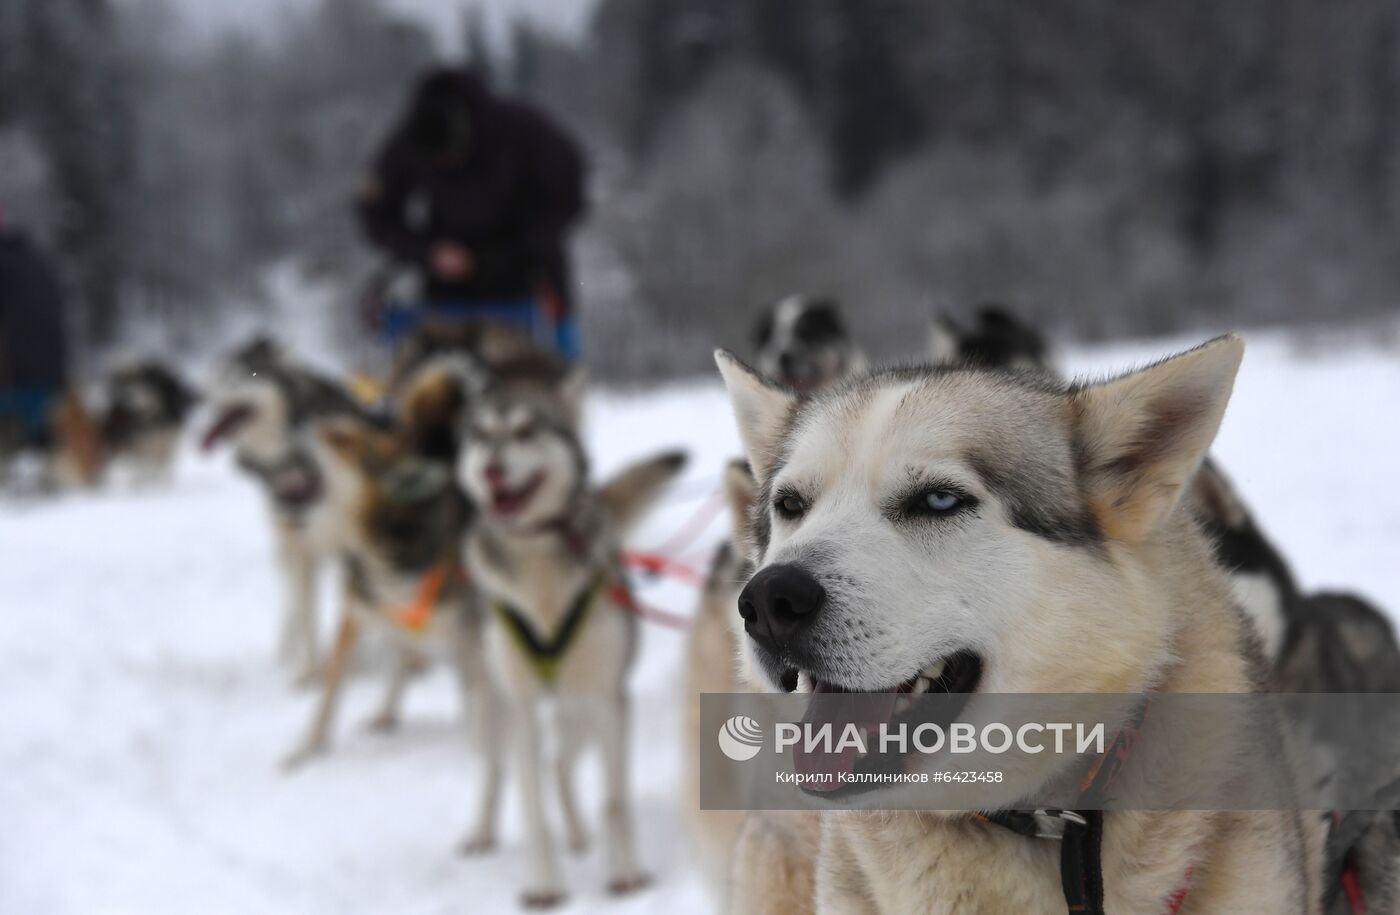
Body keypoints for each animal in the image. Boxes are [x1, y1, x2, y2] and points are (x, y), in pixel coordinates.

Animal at [204, 337, 369, 679]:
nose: (197, 393)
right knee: (292, 609)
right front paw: (307, 674)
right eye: (217, 372)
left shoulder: (349, 549)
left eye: (240, 375)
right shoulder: (302, 550)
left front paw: (344, 666)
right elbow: (306, 619)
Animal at [456, 372, 680, 912]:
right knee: (496, 770)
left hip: (579, 706)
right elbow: (532, 807)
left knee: (560, 765)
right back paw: (482, 832)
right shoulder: (519, 706)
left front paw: (625, 873)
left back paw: (580, 835)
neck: (541, 571)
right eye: (480, 435)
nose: (491, 471)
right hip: (489, 702)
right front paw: (544, 884)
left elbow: (615, 801)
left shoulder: (608, 697)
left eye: (526, 431)